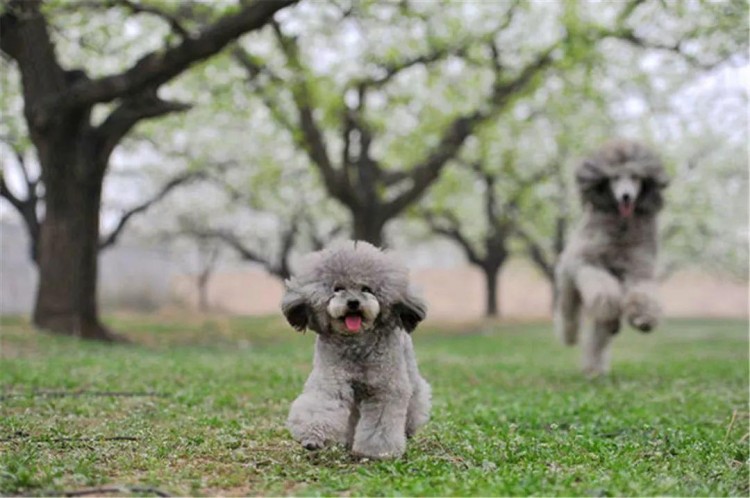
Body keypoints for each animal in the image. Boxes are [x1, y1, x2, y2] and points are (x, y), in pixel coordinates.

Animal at [282, 240, 434, 460]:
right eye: (338, 288)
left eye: (366, 288)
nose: (353, 303)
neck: (357, 344)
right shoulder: (331, 382)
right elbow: (321, 404)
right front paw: (312, 437)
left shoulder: (385, 389)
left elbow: (381, 423)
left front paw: (379, 451)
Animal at [556, 138, 672, 376]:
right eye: (615, 177)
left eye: (636, 177)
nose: (626, 196)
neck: (622, 227)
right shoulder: (588, 264)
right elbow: (603, 292)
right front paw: (609, 305)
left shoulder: (638, 268)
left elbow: (642, 294)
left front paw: (644, 318)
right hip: (568, 282)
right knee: (569, 312)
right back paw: (571, 337)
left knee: (600, 334)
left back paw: (594, 367)